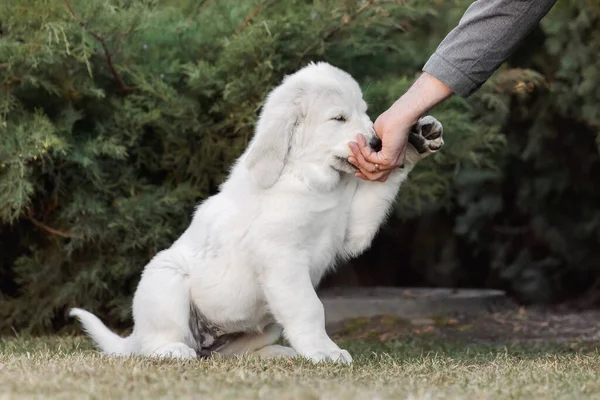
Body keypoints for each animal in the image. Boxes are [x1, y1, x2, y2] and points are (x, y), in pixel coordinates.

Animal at [71, 61, 446, 364]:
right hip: (166, 280)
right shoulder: (283, 259)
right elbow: (311, 308)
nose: (377, 142)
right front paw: (325, 351)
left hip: (264, 321)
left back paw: (279, 353)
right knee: (158, 342)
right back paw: (173, 350)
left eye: (365, 112)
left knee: (229, 354)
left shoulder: (350, 232)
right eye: (338, 118)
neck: (309, 179)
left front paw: (415, 140)